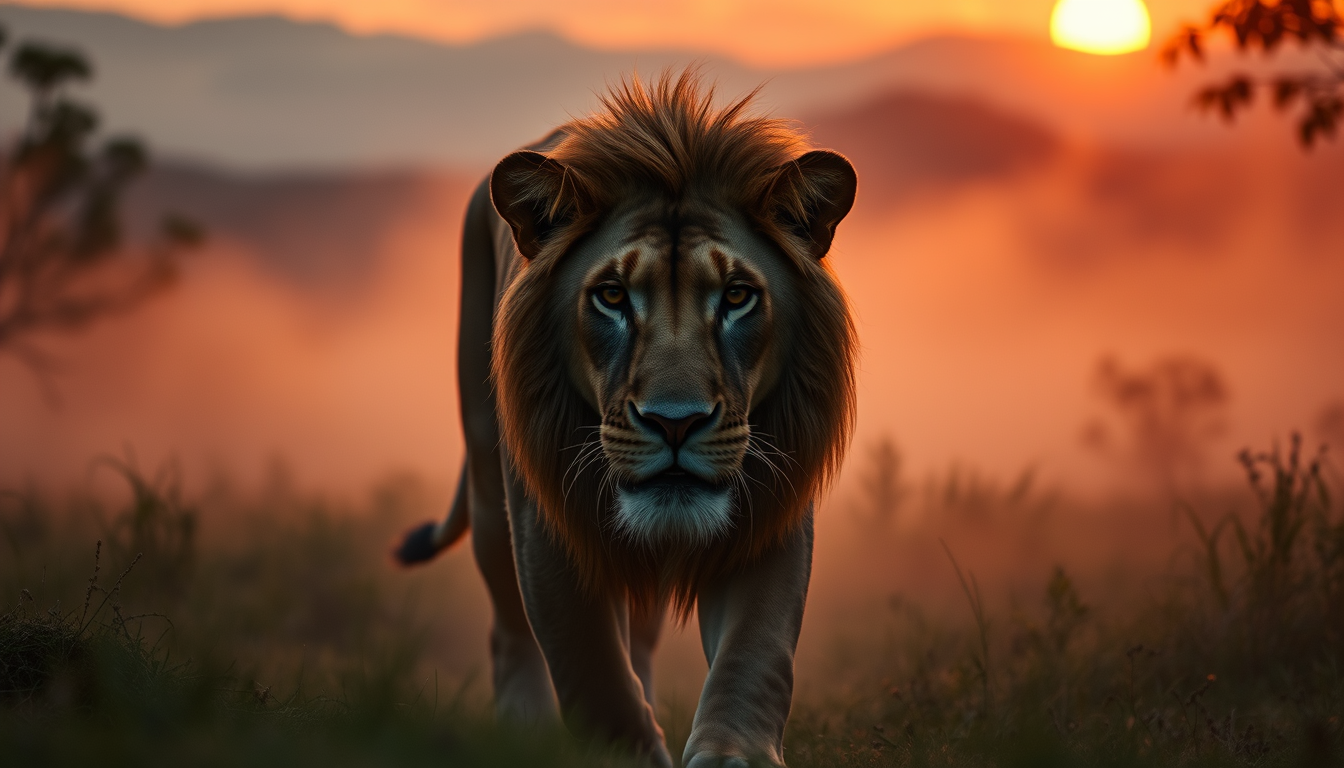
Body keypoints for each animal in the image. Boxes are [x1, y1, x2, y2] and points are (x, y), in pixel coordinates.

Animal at [395, 70, 857, 768]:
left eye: (737, 296)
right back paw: (525, 733)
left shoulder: (771, 511)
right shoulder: (545, 524)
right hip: (486, 488)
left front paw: (733, 753)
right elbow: (591, 668)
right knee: (510, 630)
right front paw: (625, 754)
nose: (675, 422)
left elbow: (756, 652)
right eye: (612, 296)